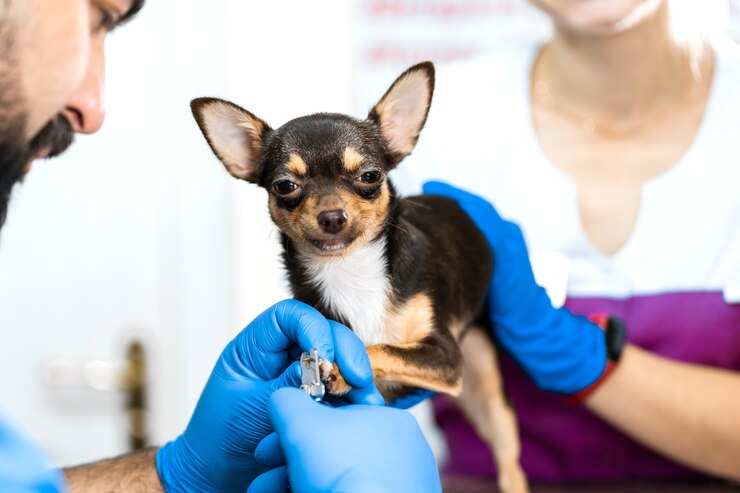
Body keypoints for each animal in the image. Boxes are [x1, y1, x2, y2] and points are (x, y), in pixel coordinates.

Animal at [191, 61, 528, 492]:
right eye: (285, 185)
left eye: (369, 176)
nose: (332, 216)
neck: (349, 269)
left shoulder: (444, 356)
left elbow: (380, 348)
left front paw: (343, 370)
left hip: (484, 385)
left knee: (510, 463)